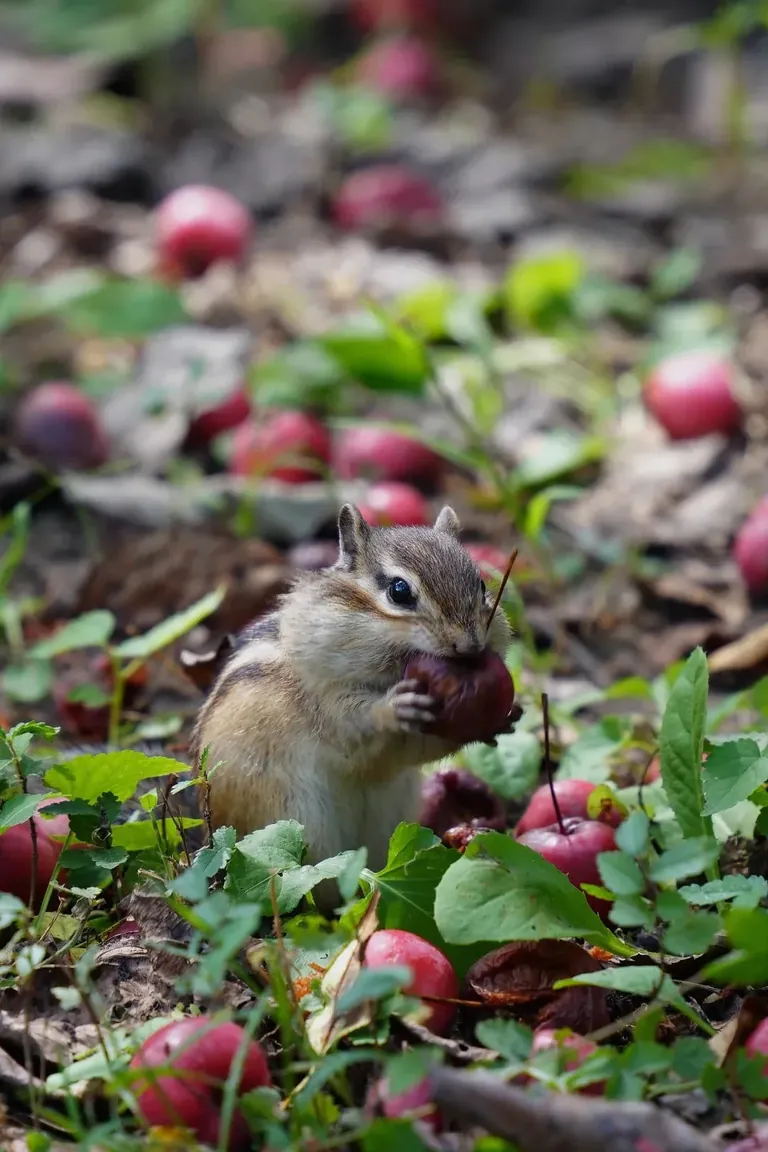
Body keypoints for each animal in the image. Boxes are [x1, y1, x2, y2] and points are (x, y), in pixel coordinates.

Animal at [191, 502, 514, 876]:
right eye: (399, 591)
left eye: (481, 585)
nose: (470, 645)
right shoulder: (322, 702)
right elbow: (352, 729)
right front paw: (392, 708)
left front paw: (503, 720)